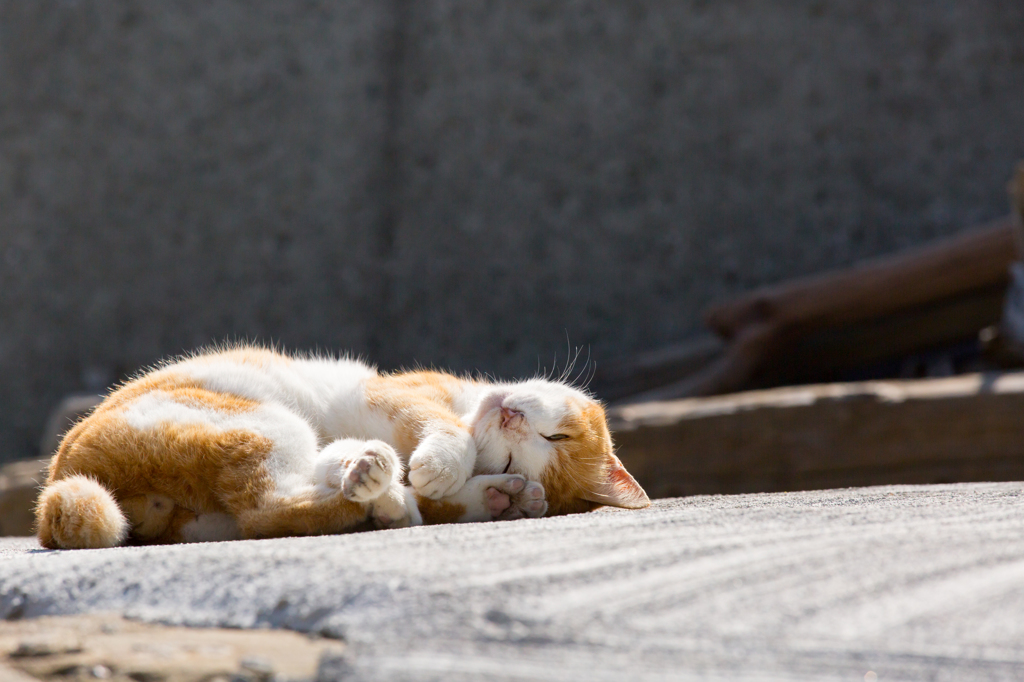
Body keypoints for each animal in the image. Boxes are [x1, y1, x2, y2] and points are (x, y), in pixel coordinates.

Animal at [39, 346, 651, 548]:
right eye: (558, 434)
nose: (509, 415)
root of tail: (58, 481)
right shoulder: (396, 394)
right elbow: (445, 434)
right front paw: (446, 467)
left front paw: (500, 492)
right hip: (267, 421)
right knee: (274, 504)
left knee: (270, 510)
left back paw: (382, 490)